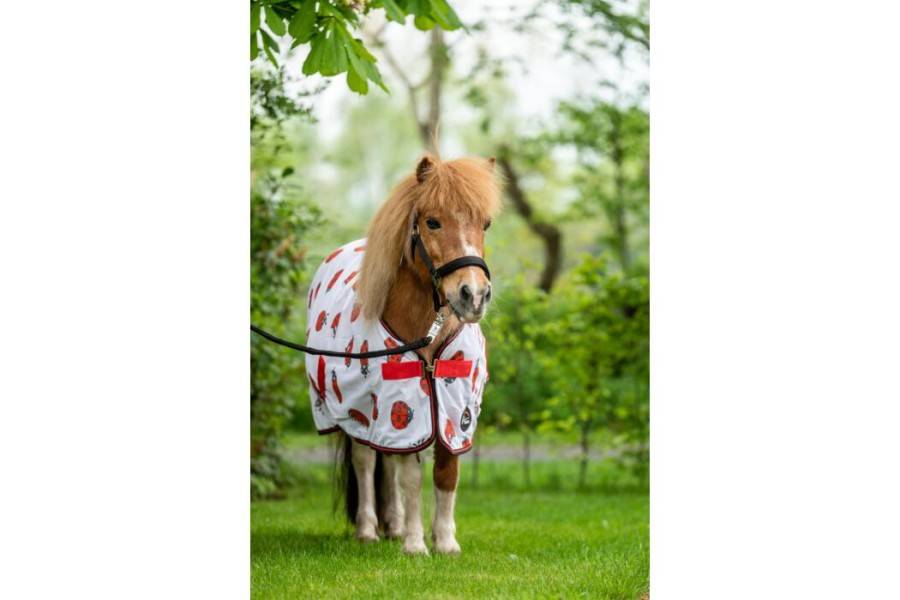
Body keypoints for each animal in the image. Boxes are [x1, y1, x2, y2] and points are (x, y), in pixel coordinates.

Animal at [304, 154, 501, 555]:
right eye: (432, 221)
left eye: (485, 223)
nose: (473, 296)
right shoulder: (408, 404)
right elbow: (411, 476)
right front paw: (415, 544)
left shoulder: (454, 408)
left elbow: (446, 472)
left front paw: (445, 541)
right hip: (356, 410)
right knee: (366, 461)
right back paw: (368, 529)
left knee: (388, 462)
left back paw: (392, 525)